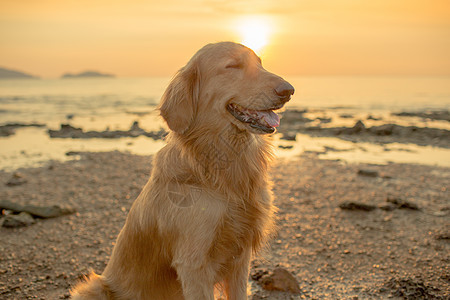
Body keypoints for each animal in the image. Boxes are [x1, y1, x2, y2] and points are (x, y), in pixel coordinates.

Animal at [70, 42, 296, 300]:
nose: (288, 90)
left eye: (260, 63)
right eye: (233, 66)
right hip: (93, 288)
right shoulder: (194, 264)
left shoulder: (241, 257)